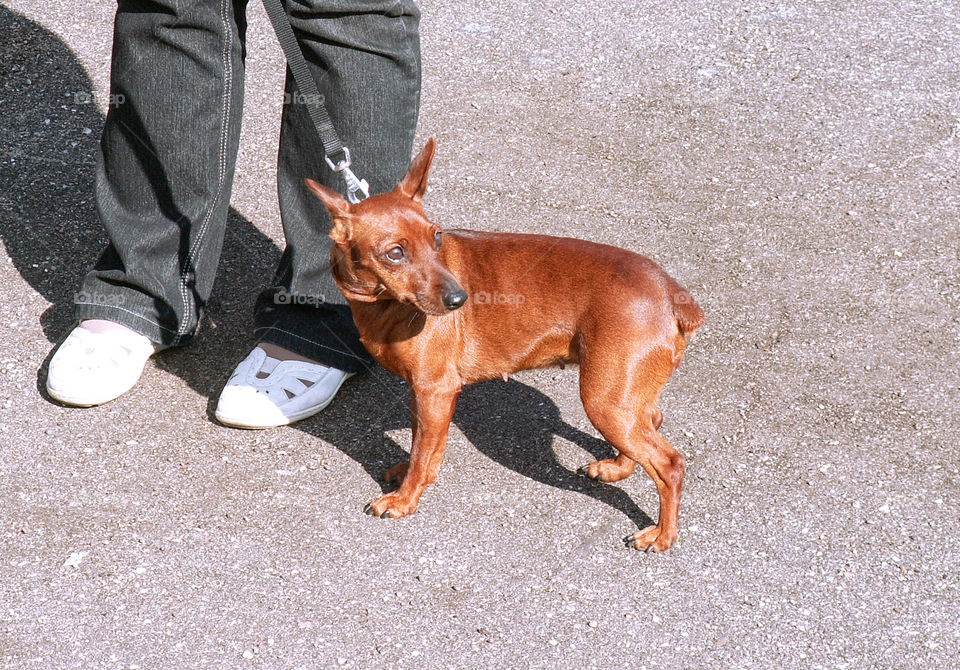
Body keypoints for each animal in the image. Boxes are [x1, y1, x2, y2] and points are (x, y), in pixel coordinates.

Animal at [310, 138, 704, 552]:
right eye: (395, 253)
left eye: (437, 237)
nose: (459, 299)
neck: (383, 305)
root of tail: (672, 294)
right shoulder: (424, 393)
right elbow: (423, 443)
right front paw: (412, 476)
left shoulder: (436, 389)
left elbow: (422, 451)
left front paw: (404, 499)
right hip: (624, 398)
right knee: (652, 423)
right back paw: (617, 467)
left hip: (604, 400)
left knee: (670, 464)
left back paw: (662, 535)